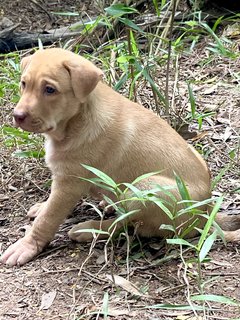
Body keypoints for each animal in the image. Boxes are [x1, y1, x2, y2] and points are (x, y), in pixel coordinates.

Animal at [0, 48, 239, 268]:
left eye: (50, 90)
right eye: (23, 84)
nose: (17, 116)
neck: (76, 120)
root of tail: (205, 214)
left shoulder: (69, 183)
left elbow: (47, 219)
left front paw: (27, 245)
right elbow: (49, 206)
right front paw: (42, 207)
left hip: (144, 187)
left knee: (126, 225)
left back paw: (89, 229)